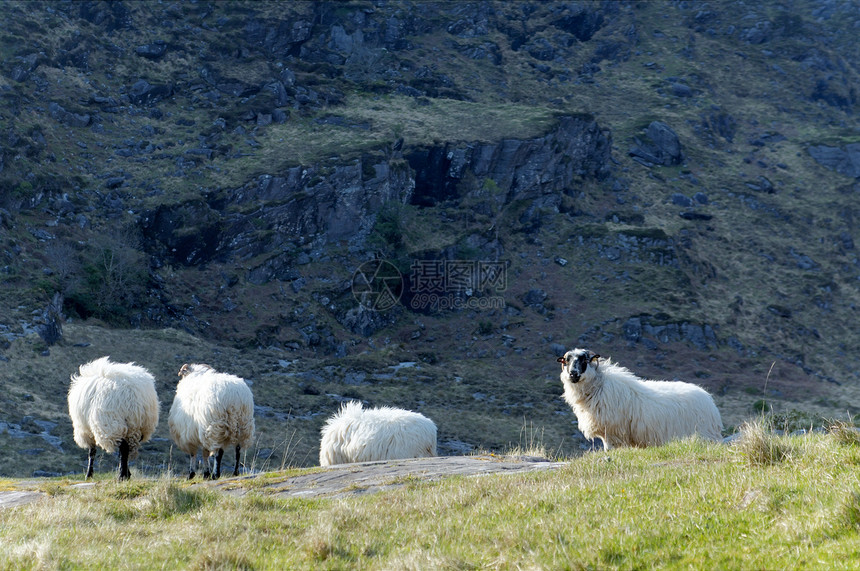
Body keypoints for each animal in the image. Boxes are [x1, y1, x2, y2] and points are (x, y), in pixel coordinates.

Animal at [556, 348, 724, 452]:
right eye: (567, 360)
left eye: (584, 360)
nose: (573, 374)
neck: (599, 385)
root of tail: (710, 403)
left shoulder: (612, 432)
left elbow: (608, 450)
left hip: (703, 435)